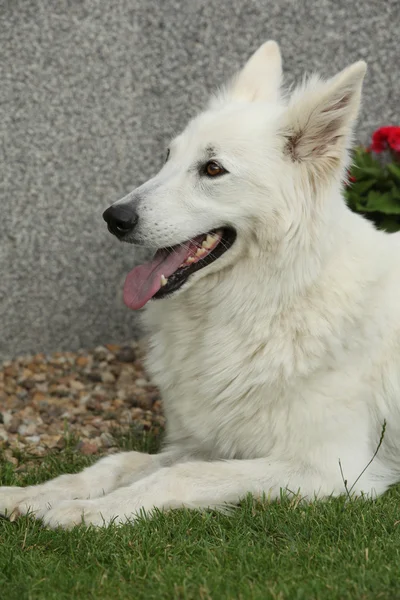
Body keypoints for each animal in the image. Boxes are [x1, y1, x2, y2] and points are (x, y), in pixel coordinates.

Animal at [1, 41, 398, 528]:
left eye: (212, 169)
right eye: (167, 156)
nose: (114, 218)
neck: (270, 299)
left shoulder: (330, 470)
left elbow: (180, 476)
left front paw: (90, 511)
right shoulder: (205, 441)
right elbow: (120, 462)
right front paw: (37, 494)